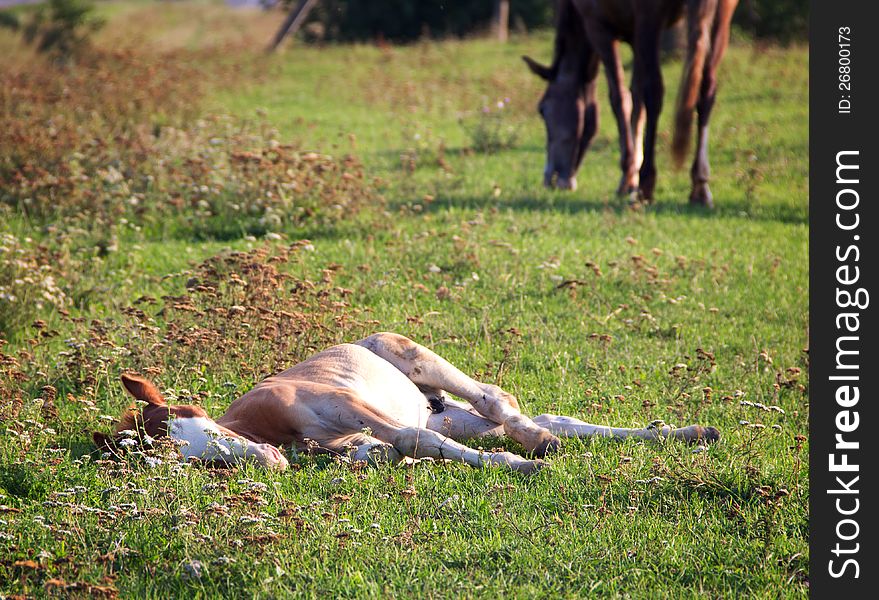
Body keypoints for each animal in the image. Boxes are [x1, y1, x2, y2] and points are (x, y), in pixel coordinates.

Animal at [524, 0, 740, 206]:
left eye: (542, 110)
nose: (551, 178)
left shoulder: (599, 28)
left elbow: (620, 99)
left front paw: (629, 175)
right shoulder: (635, 36)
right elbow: (637, 99)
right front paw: (629, 179)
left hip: (649, 20)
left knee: (654, 92)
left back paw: (647, 185)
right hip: (720, 16)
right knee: (706, 92)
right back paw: (700, 186)